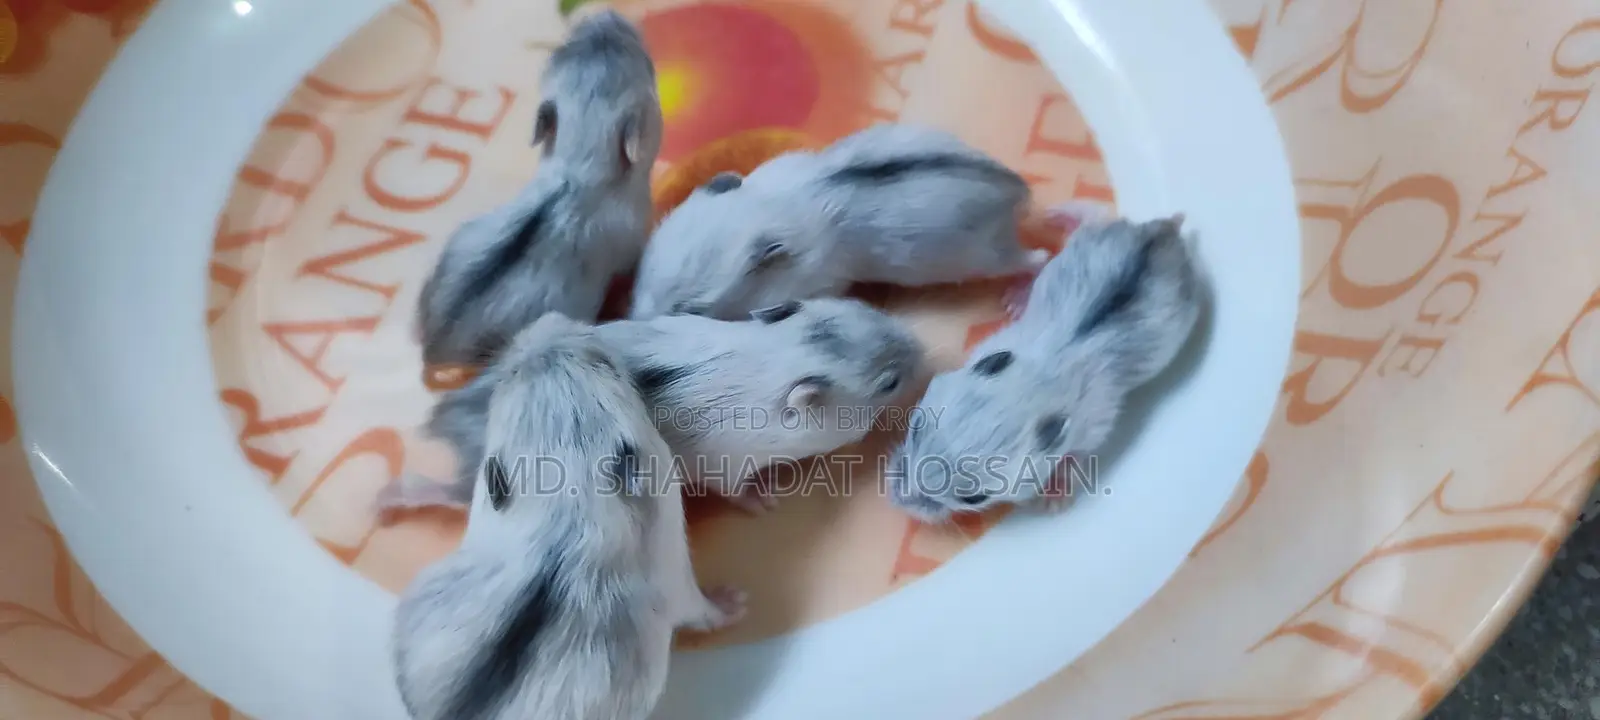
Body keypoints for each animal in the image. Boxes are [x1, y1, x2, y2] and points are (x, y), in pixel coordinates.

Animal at [377, 297, 925, 518]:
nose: (925, 352)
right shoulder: (727, 465)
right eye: (889, 383)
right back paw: (384, 501)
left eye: (864, 308)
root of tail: (445, 418)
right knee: (443, 493)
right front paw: (766, 501)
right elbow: (739, 492)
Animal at [391, 313, 745, 720]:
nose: (549, 319)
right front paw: (738, 599)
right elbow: (704, 610)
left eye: (509, 374)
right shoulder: (675, 572)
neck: (569, 512)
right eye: (604, 363)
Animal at [414, 9, 663, 367]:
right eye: (646, 64)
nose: (606, 13)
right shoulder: (632, 238)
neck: (577, 165)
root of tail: (431, 349)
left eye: (561, 50)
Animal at [627, 122, 1049, 320]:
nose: (629, 318)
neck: (761, 212)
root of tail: (1016, 188)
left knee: (1038, 259)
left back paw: (1016, 302)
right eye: (643, 269)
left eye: (690, 310)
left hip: (984, 256)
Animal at [885, 213, 1204, 523]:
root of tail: (1164, 231)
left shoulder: (1095, 427)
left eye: (974, 498)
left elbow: (1074, 457)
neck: (1042, 378)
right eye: (917, 426)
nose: (896, 499)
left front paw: (1054, 502)